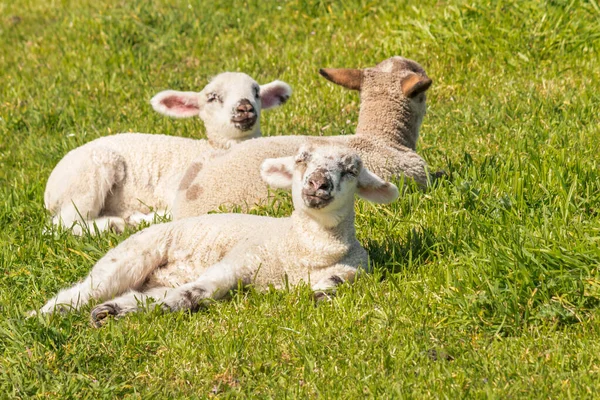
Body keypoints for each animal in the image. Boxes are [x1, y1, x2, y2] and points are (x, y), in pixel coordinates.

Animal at [38, 144, 404, 324]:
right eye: (301, 160)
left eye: (351, 169)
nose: (317, 184)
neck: (304, 252)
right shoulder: (243, 259)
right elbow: (200, 290)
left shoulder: (353, 271)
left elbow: (332, 285)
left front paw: (320, 295)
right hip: (130, 256)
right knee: (87, 289)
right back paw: (47, 315)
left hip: (154, 279)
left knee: (137, 295)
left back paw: (110, 313)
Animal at [43, 71, 292, 234]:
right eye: (212, 97)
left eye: (256, 92)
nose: (245, 107)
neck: (217, 148)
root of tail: (49, 191)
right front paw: (142, 219)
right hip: (87, 176)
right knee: (63, 224)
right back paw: (114, 225)